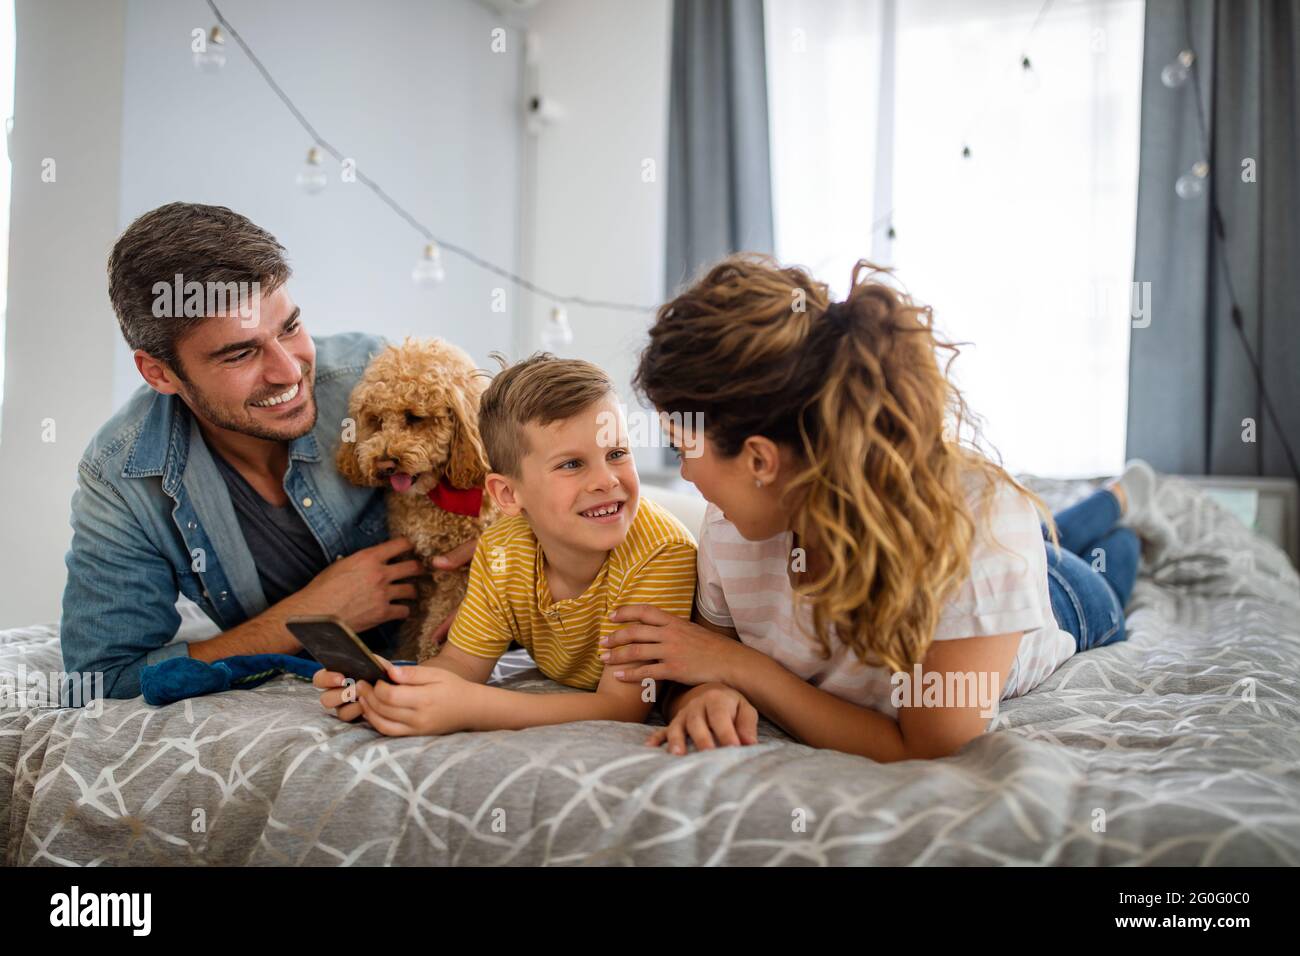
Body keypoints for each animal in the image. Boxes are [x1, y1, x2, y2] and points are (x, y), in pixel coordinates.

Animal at [335, 338, 496, 665]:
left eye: (414, 417)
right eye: (377, 421)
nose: (385, 463)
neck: (430, 499)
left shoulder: (458, 572)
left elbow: (438, 625)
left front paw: (431, 662)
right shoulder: (416, 573)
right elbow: (412, 626)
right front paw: (406, 654)